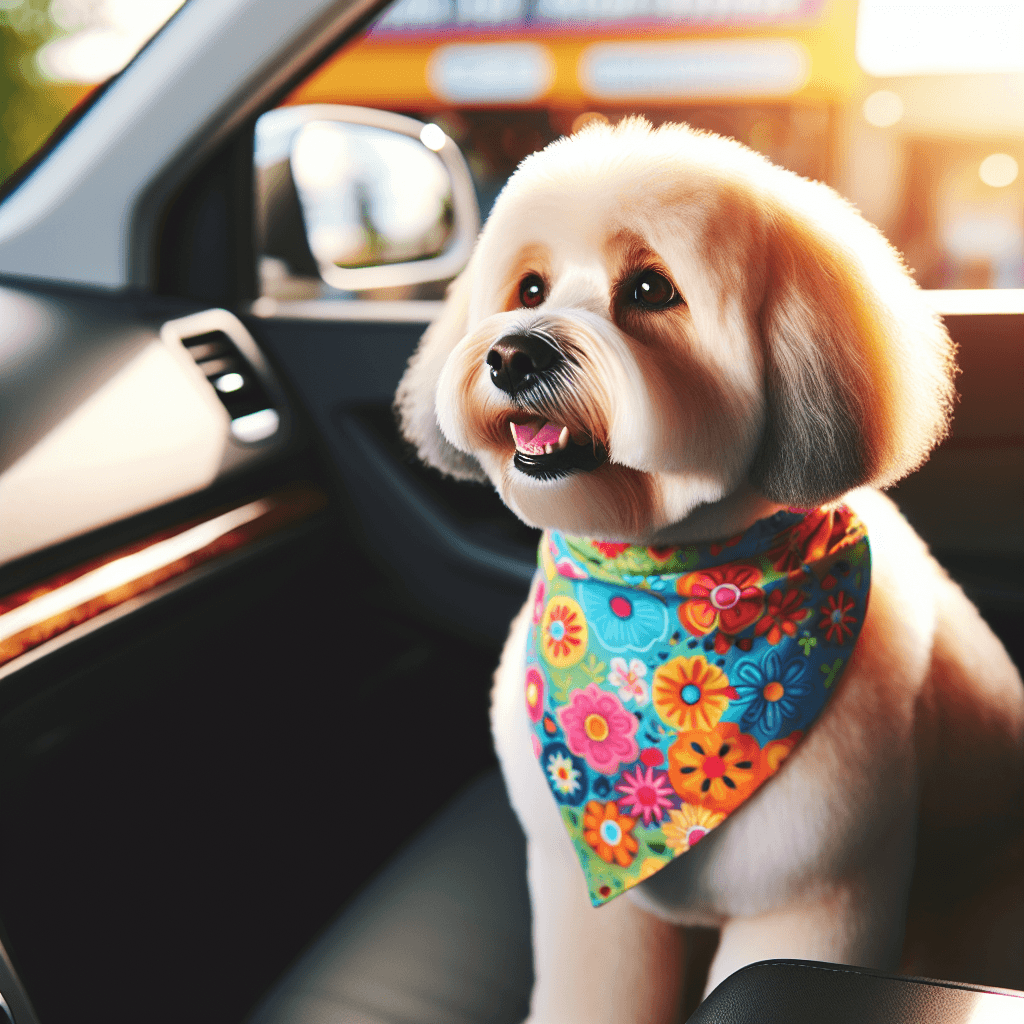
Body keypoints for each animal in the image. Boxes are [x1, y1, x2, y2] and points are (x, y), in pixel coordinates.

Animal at [393, 117, 1024, 1015]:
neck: (667, 592)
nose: (514, 355)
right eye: (529, 288)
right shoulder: (585, 902)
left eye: (652, 289)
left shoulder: (810, 898)